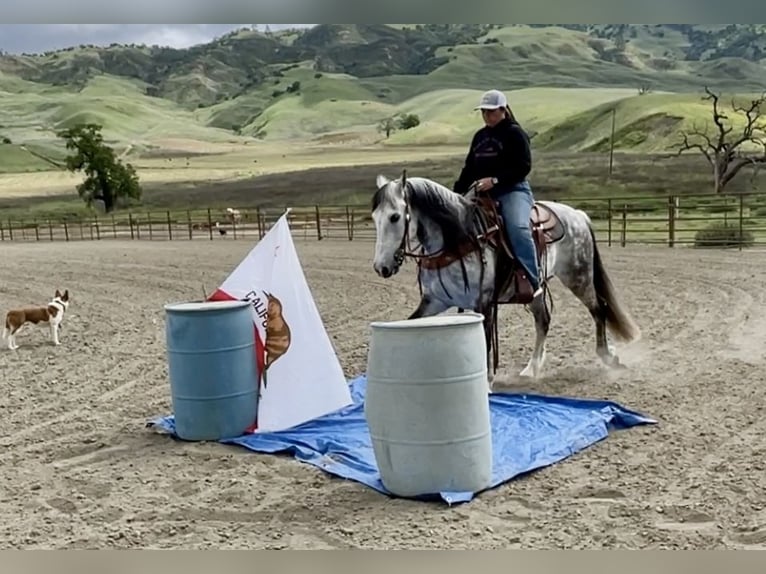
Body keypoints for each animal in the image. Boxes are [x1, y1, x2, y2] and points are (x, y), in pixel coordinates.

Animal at [372, 169, 640, 390]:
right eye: (375, 218)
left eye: (395, 217)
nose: (381, 267)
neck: (458, 239)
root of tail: (578, 215)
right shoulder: (435, 301)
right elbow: (411, 322)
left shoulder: (483, 302)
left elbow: (486, 342)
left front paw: (487, 385)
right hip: (535, 289)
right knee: (544, 320)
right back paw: (531, 368)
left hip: (578, 276)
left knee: (598, 309)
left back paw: (608, 357)